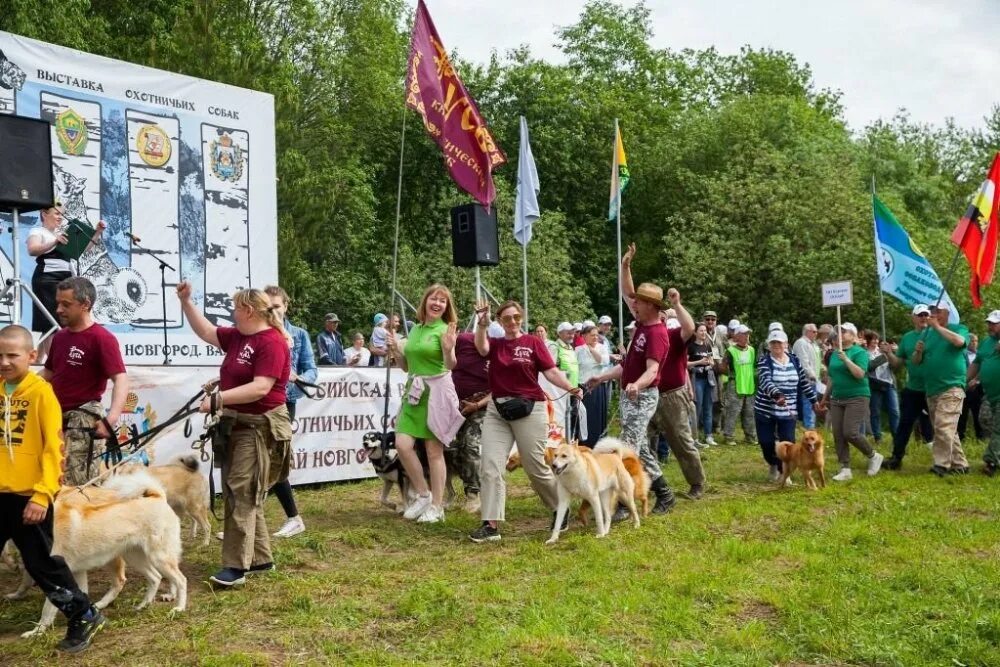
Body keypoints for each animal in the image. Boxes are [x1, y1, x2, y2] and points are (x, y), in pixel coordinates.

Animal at [11, 470, 188, 636]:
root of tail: (158, 497)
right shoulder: (77, 572)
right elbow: (81, 596)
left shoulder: (55, 576)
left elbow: (47, 611)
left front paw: (37, 632)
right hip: (135, 558)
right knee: (155, 578)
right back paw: (143, 605)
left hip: (159, 558)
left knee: (180, 580)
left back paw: (179, 608)